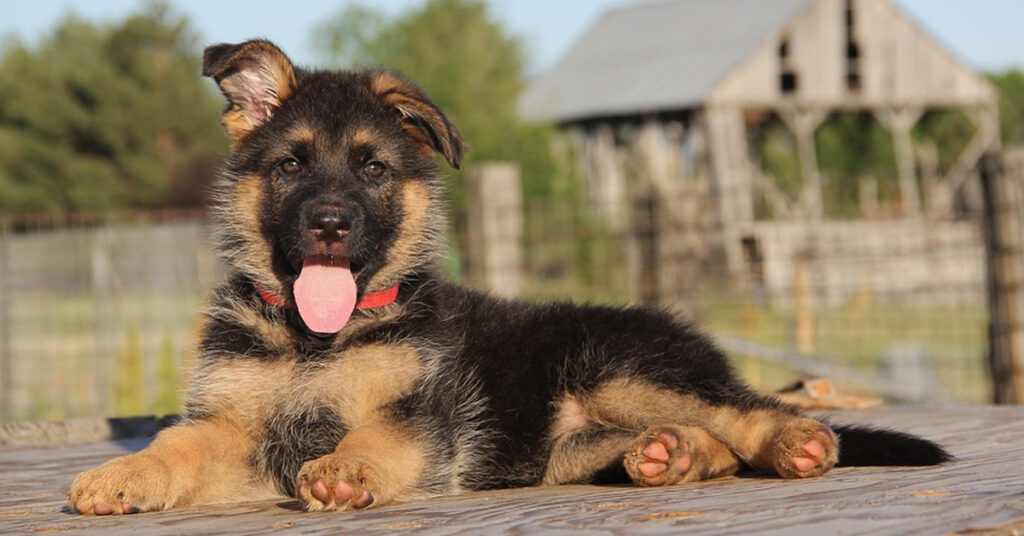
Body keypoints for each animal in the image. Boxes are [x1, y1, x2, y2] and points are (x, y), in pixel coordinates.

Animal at [68, 40, 946, 516]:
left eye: (373, 169)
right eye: (289, 166)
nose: (331, 224)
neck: (316, 339)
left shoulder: (415, 416)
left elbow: (373, 436)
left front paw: (346, 468)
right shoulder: (230, 426)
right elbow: (175, 444)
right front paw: (121, 475)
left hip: (623, 366)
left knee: (750, 410)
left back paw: (794, 442)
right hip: (569, 442)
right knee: (705, 442)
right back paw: (670, 457)